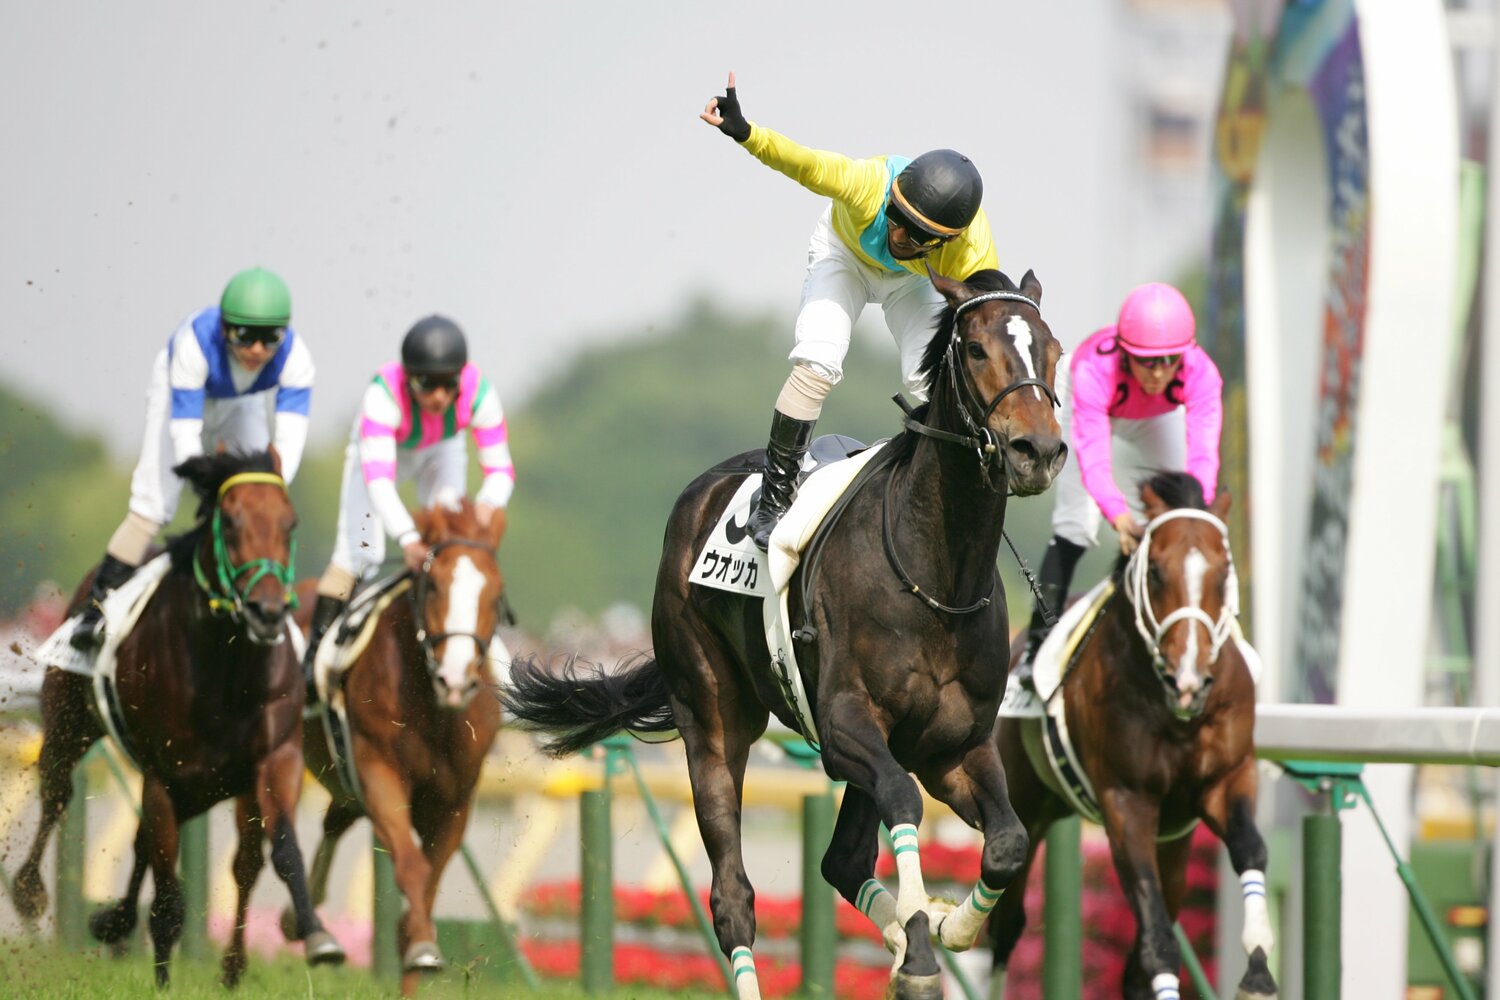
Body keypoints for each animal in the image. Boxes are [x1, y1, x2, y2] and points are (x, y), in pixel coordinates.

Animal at [12, 450, 343, 987]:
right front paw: (163, 981)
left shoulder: (274, 760)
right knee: (57, 794)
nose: (268, 611)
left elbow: (279, 853)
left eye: (290, 523)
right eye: (230, 521)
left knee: (182, 851)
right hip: (69, 722)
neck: (226, 670)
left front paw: (312, 937)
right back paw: (29, 891)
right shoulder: (165, 777)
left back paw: (126, 925)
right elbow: (168, 896)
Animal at [292, 499, 506, 997]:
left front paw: (417, 949)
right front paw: (424, 948)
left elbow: (426, 884)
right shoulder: (379, 775)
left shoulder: (453, 803)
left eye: (494, 594)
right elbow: (410, 865)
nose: (455, 678)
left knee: (333, 820)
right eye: (434, 588)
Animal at [505, 269, 1068, 1000]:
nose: (1038, 451)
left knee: (843, 858)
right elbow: (902, 798)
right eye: (975, 349)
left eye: (1053, 350)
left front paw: (946, 927)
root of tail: (699, 494)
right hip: (714, 718)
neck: (936, 574)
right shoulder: (847, 724)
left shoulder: (954, 746)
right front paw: (921, 947)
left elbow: (1006, 842)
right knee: (732, 898)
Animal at [988, 471, 1277, 1000]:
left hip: (1174, 846)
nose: (1189, 680)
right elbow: (1155, 938)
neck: (1175, 713)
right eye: (1157, 572)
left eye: (1223, 572)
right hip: (1025, 803)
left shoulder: (1226, 780)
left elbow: (1251, 848)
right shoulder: (1127, 802)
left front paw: (1258, 970)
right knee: (1005, 927)